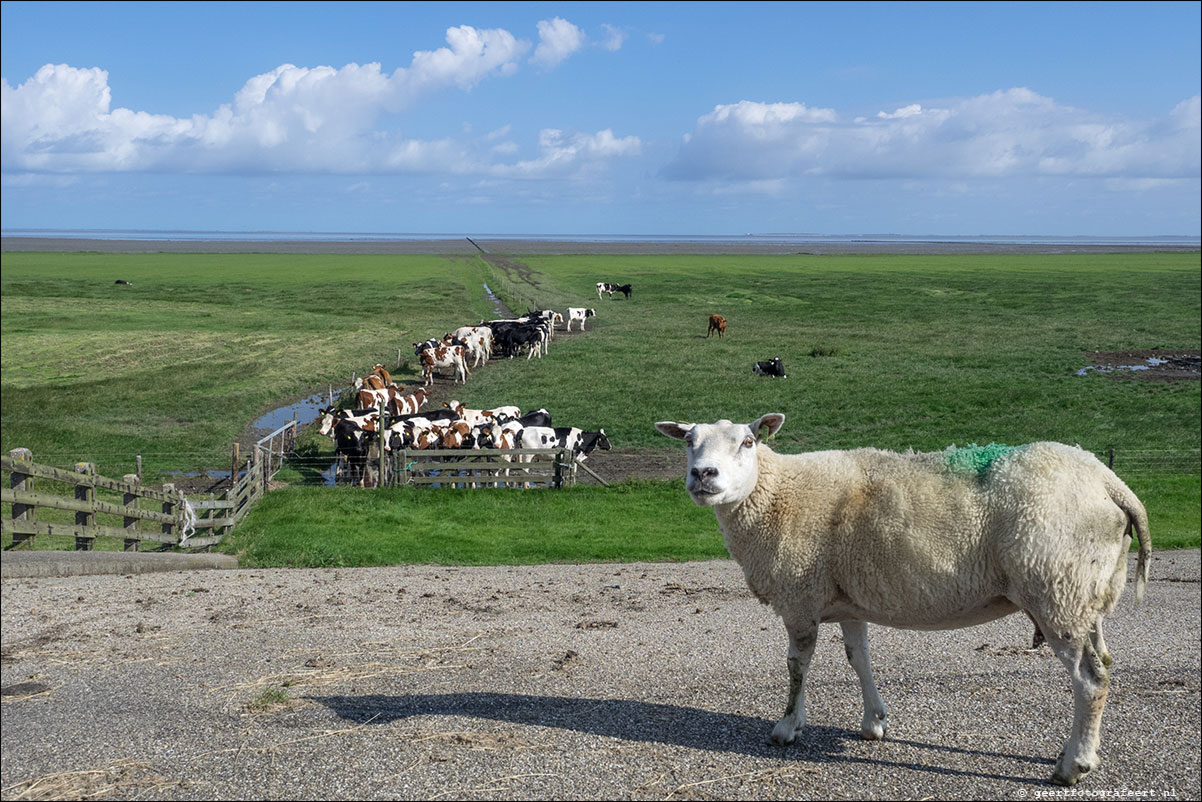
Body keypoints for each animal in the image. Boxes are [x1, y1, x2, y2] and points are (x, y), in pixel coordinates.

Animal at [658, 411, 1153, 788]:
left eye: (747, 441)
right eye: (689, 442)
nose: (703, 474)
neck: (777, 491)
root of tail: (1109, 481)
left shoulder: (800, 596)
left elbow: (797, 666)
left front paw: (787, 727)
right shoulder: (846, 598)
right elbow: (859, 658)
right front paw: (874, 722)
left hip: (1056, 589)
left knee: (1090, 680)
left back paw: (1072, 767)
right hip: (1087, 593)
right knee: (1104, 664)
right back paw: (1080, 751)